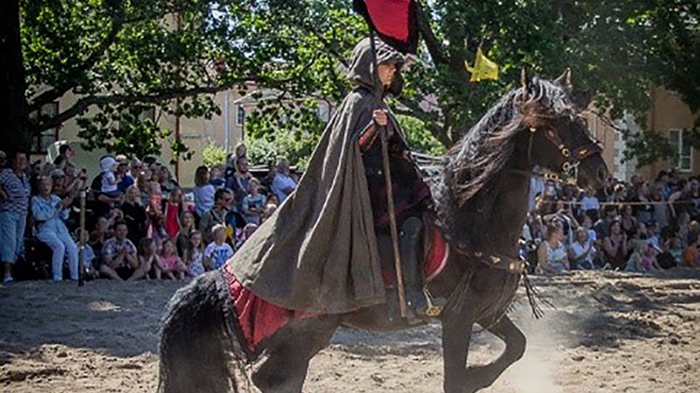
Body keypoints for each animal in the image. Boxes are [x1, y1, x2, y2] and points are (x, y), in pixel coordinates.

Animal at [157, 70, 608, 392]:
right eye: (559, 121)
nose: (599, 173)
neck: (469, 218)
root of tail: (232, 274)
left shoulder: (487, 312)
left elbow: (517, 346)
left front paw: (482, 375)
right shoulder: (458, 316)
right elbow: (456, 379)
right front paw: (474, 376)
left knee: (277, 379)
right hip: (308, 331)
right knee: (275, 378)